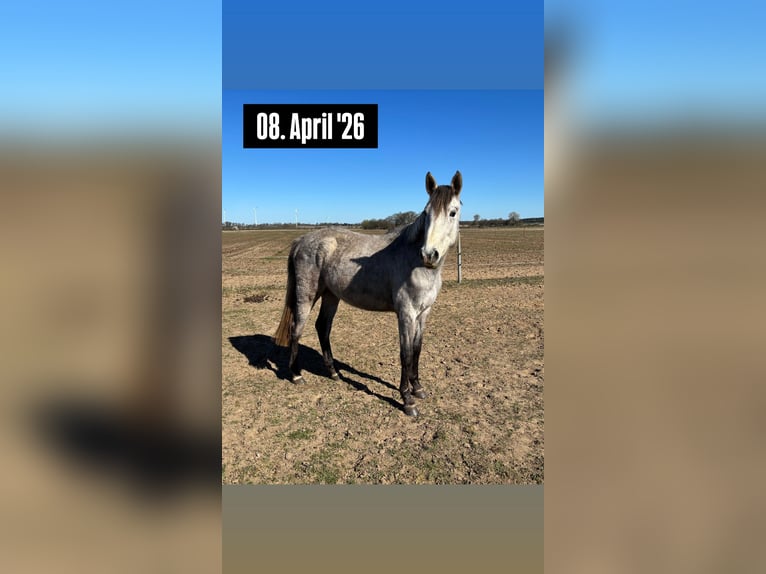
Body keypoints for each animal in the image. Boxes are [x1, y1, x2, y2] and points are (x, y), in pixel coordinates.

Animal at [273, 171, 462, 417]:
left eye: (452, 212)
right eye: (426, 213)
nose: (429, 254)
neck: (414, 262)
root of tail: (301, 241)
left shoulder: (423, 313)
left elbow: (417, 350)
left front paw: (418, 388)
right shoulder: (406, 314)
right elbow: (405, 353)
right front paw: (407, 399)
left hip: (331, 296)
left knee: (323, 327)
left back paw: (334, 373)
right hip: (307, 295)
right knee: (297, 328)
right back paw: (296, 375)